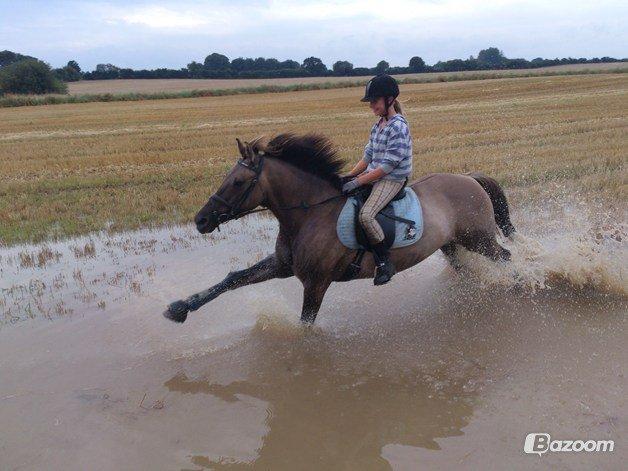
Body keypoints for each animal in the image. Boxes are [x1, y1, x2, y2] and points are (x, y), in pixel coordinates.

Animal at [163, 133, 516, 324]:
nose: (201, 220)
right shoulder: (282, 265)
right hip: (453, 245)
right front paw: (179, 308)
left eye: (237, 182)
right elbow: (233, 279)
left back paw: (522, 282)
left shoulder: (316, 283)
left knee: (507, 257)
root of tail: (469, 178)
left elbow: (305, 323)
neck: (309, 214)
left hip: (480, 240)